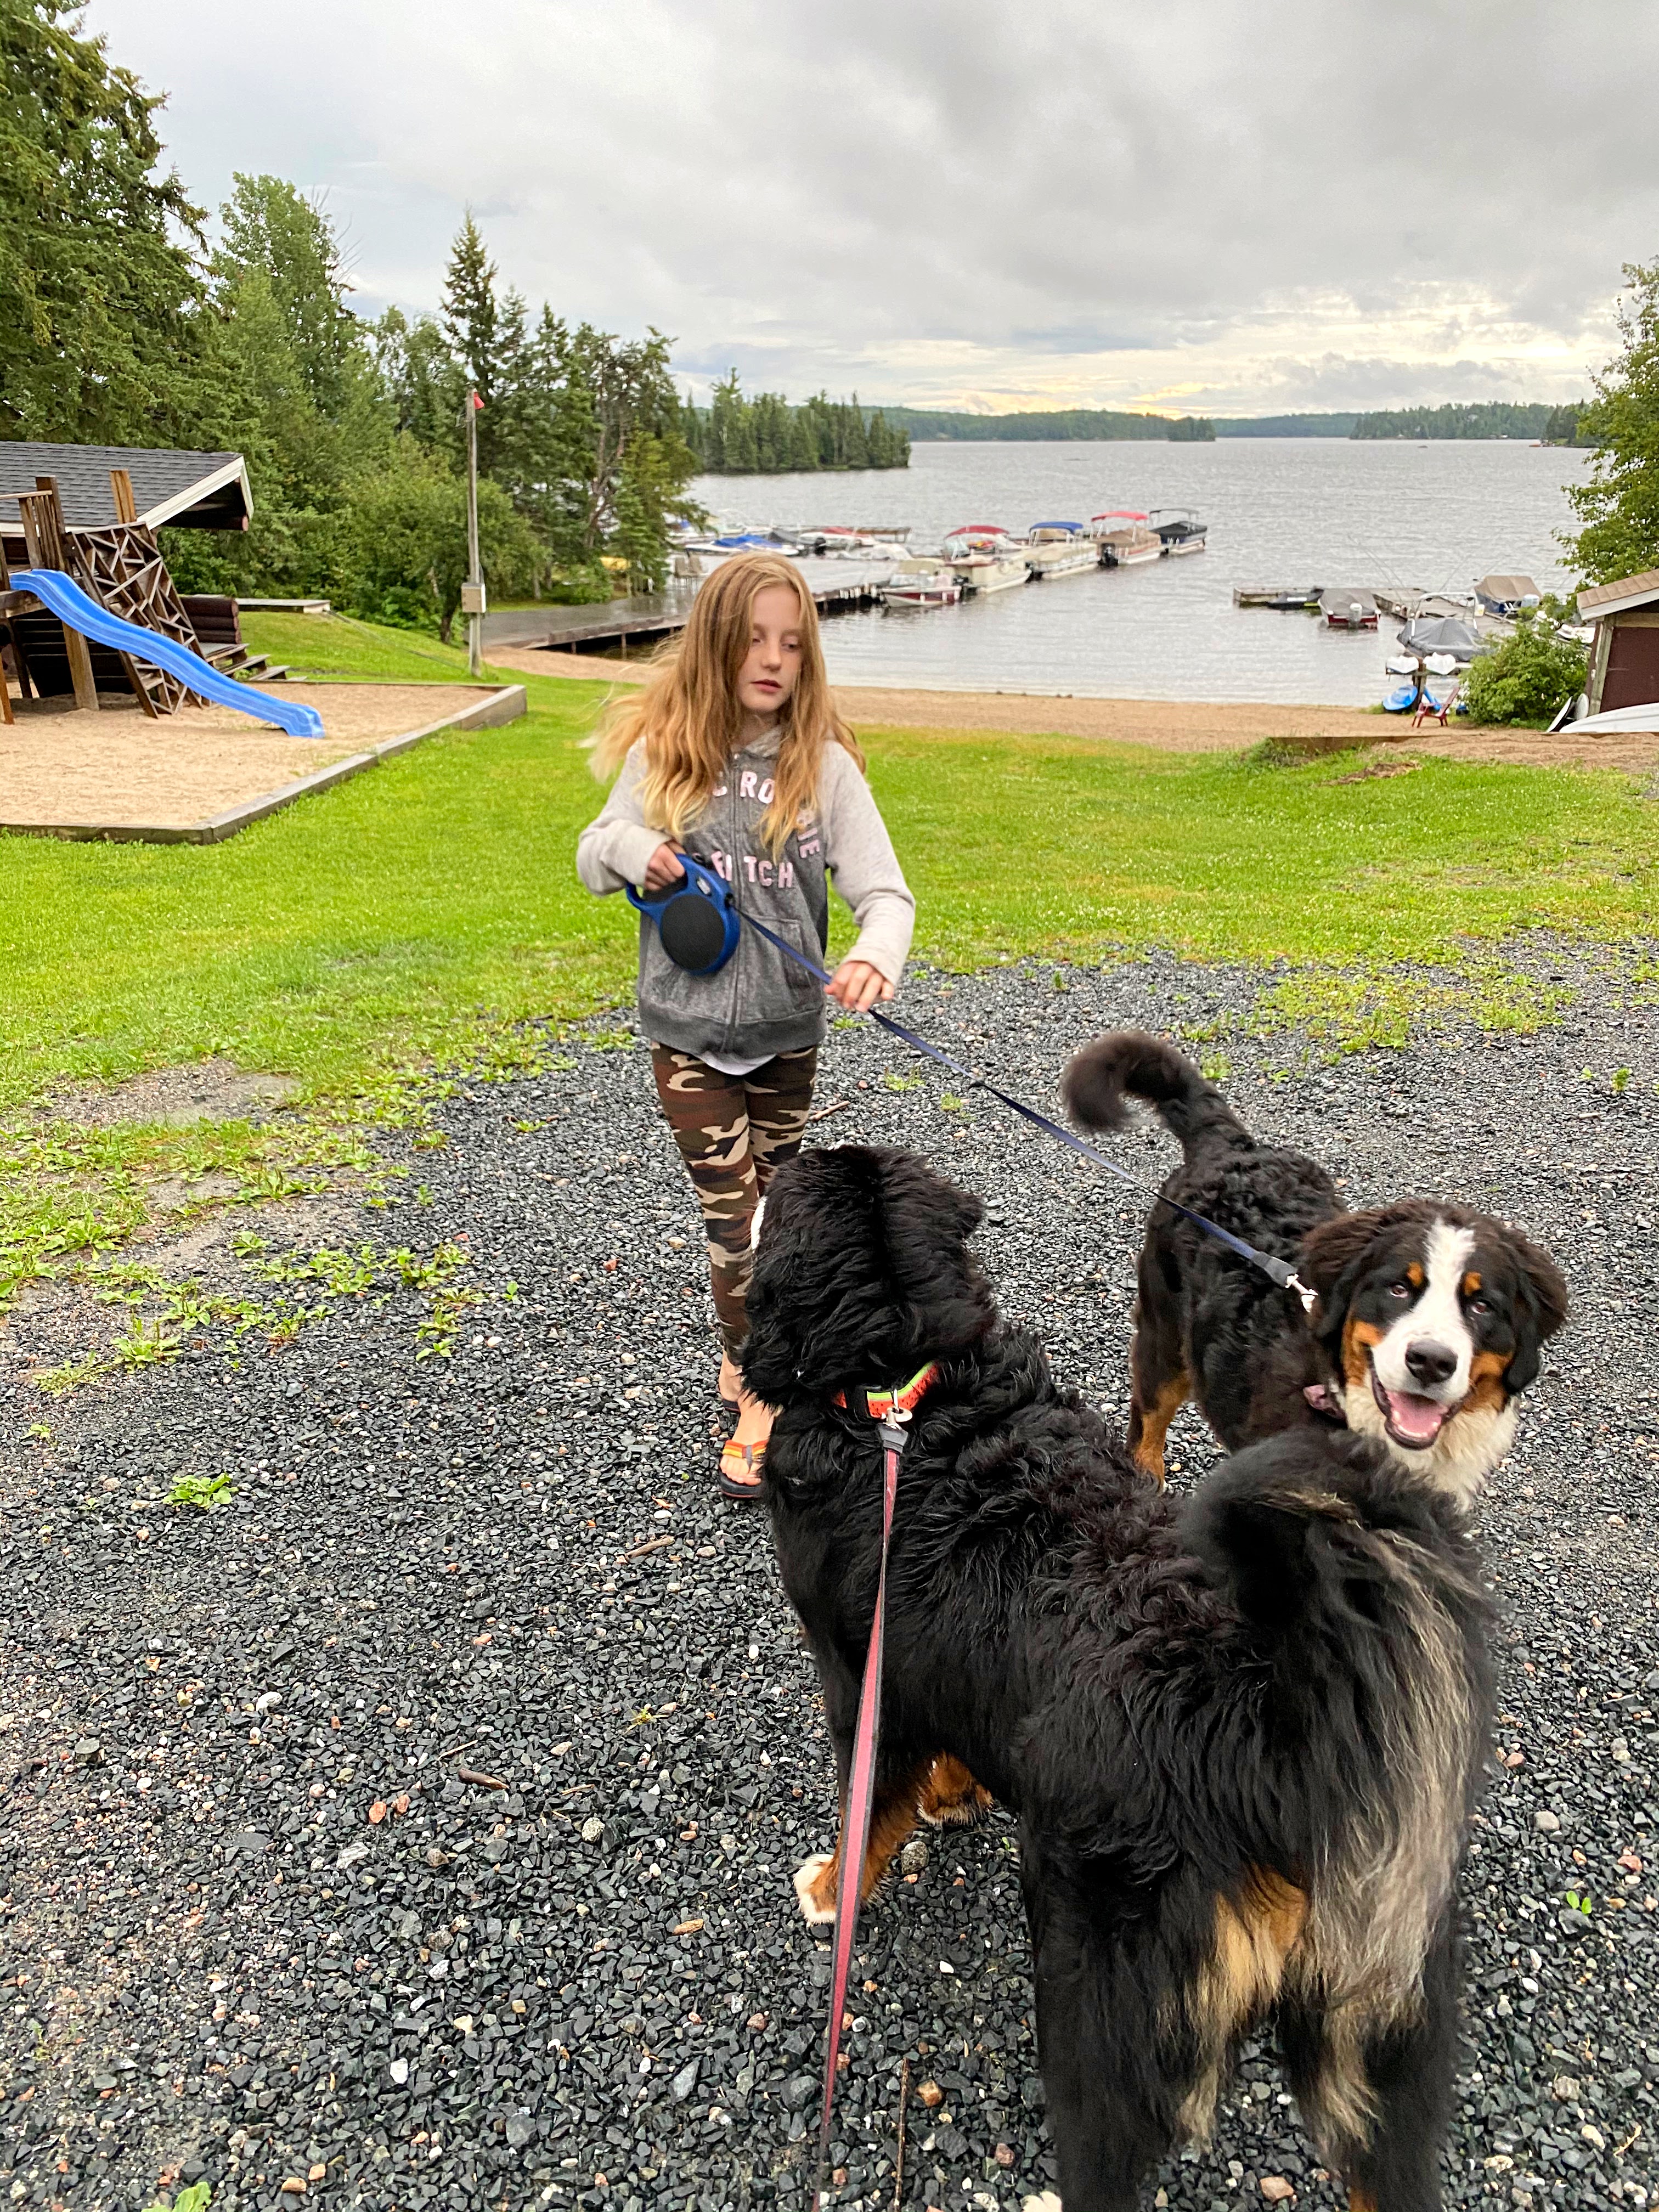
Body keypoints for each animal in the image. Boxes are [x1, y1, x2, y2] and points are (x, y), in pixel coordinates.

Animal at [747, 1141, 1504, 2212]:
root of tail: (1268, 1734)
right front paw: (957, 1794)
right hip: (1381, 2044)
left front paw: (830, 1885)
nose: (768, 1151)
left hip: (1096, 1992)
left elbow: (872, 1809)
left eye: (785, 1184)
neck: (905, 1389)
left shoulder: (862, 1670)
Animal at [1066, 1035, 1575, 1504]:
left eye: (1482, 1305)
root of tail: (1234, 1148)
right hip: (1165, 1339)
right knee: (1147, 1423)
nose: (1431, 1361)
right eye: (1397, 1289)